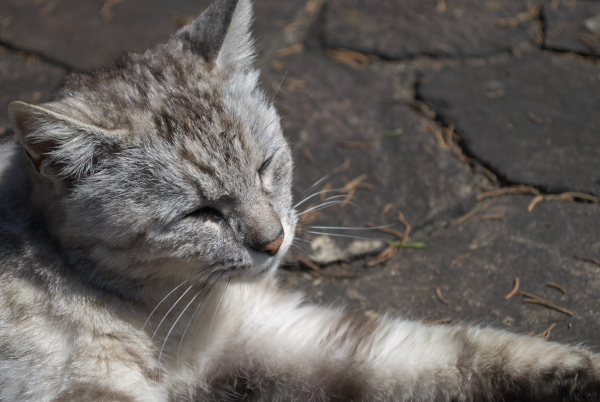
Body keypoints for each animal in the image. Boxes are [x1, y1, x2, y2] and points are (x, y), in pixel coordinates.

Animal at [1, 0, 600, 398]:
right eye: (199, 213)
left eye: (266, 168)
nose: (273, 241)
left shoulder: (278, 336)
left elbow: (456, 356)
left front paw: (579, 372)